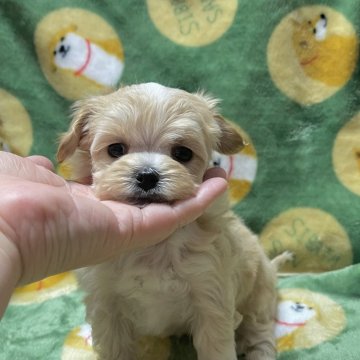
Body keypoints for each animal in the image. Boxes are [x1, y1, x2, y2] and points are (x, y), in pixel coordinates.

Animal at [57, 83, 278, 360]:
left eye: (182, 153)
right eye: (116, 150)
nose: (147, 176)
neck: (151, 245)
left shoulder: (211, 294)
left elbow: (216, 347)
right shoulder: (106, 304)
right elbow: (115, 348)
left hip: (258, 294)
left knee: (259, 330)